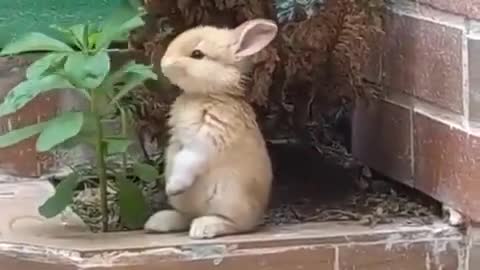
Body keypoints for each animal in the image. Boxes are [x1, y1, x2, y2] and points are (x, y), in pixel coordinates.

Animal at [143, 19, 278, 238]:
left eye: (197, 54)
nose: (164, 63)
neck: (204, 95)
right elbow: (176, 152)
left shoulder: (210, 135)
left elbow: (189, 158)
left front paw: (173, 186)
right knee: (186, 216)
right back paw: (158, 222)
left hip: (229, 196)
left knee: (237, 225)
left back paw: (205, 227)